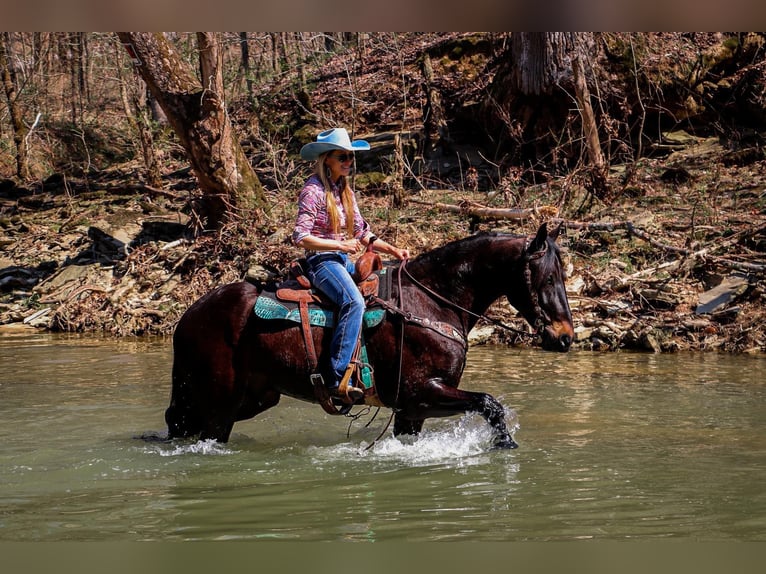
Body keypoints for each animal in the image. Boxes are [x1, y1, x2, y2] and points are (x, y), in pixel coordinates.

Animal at [168, 223, 576, 452]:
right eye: (549, 278)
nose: (566, 337)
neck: (432, 301)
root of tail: (189, 316)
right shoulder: (420, 392)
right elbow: (490, 404)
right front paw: (505, 444)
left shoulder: (412, 410)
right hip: (219, 406)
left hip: (253, 398)